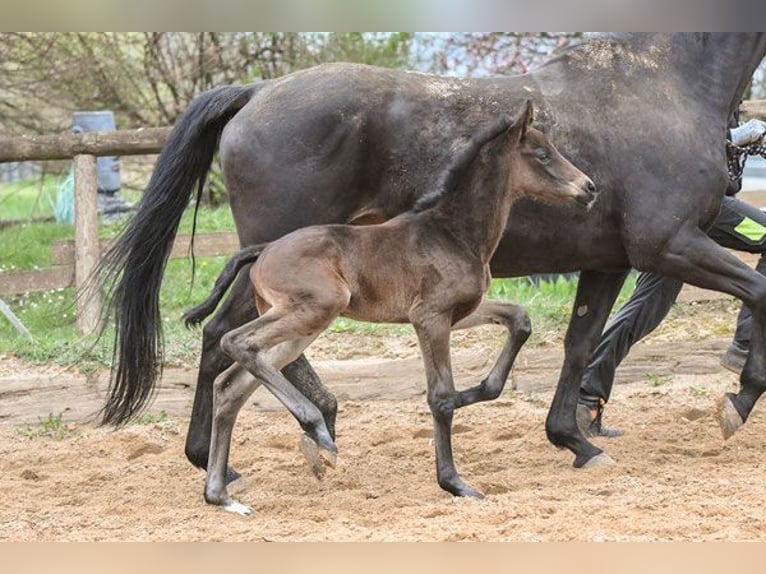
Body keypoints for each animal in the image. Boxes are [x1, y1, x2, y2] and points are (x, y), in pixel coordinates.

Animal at [188, 100, 600, 516]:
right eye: (542, 154)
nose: (589, 188)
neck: (454, 233)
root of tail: (263, 251)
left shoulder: (461, 312)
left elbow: (519, 320)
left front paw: (474, 393)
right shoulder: (429, 318)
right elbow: (440, 398)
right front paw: (454, 483)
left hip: (303, 324)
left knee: (232, 384)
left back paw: (221, 495)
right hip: (315, 308)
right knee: (234, 341)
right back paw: (316, 430)